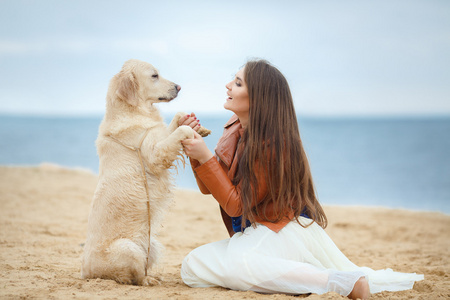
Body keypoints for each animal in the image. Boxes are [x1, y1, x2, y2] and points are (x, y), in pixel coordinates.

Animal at [81, 59, 211, 286]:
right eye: (154, 75)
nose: (178, 87)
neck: (132, 111)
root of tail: (85, 271)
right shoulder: (154, 155)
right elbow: (181, 131)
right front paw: (190, 129)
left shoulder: (158, 136)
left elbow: (177, 119)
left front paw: (198, 127)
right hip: (129, 248)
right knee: (135, 278)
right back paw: (150, 280)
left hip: (153, 246)